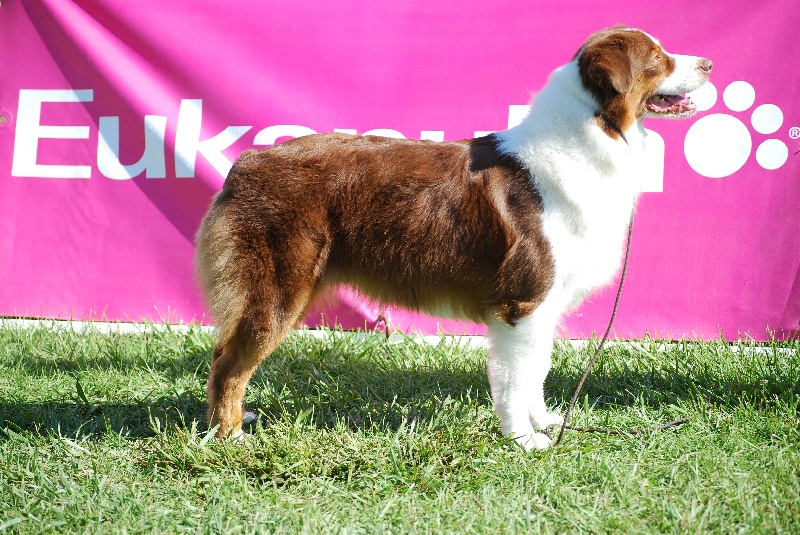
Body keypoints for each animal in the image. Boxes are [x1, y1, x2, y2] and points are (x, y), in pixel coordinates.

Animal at [197, 26, 708, 452]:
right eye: (658, 58)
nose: (708, 65)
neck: (597, 128)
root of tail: (247, 162)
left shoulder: (544, 301)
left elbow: (538, 369)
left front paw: (543, 423)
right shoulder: (522, 300)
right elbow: (516, 377)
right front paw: (524, 441)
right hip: (279, 286)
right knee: (227, 361)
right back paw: (230, 436)